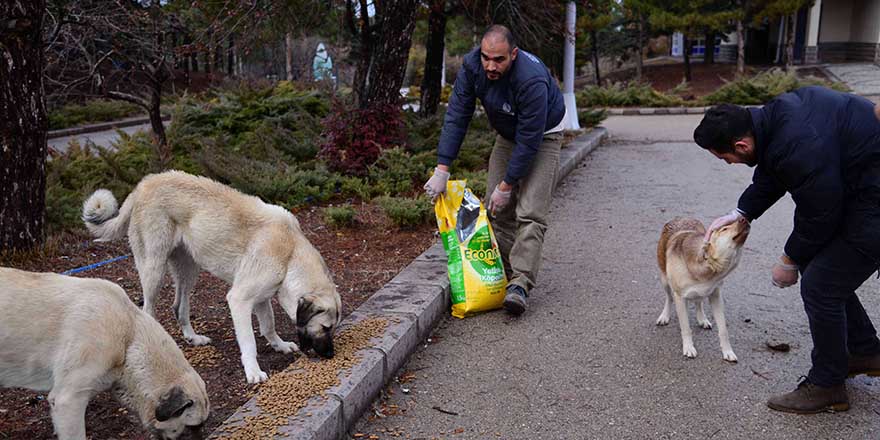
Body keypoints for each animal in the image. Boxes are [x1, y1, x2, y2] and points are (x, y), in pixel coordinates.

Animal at [82, 170, 342, 384]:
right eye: (326, 328)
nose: (331, 355)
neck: (289, 252)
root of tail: (143, 184)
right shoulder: (239, 300)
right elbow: (249, 341)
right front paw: (253, 371)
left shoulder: (261, 298)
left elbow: (268, 324)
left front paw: (279, 345)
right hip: (153, 270)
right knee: (148, 310)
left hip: (189, 270)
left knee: (178, 307)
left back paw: (193, 338)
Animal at [652, 215, 748, 362]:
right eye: (724, 229)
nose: (744, 218)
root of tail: (681, 217)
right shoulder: (680, 298)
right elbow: (686, 327)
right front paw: (688, 347)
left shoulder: (716, 295)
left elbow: (723, 330)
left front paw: (727, 351)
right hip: (665, 280)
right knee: (669, 298)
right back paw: (664, 315)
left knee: (699, 301)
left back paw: (702, 318)